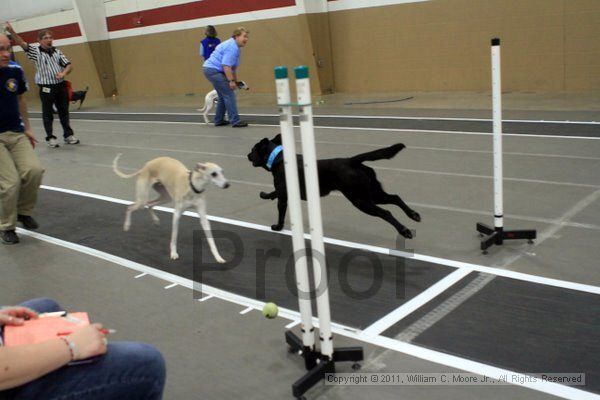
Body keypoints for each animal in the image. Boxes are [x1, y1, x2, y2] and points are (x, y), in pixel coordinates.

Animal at [246, 134, 420, 238]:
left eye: (253, 149)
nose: (247, 155)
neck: (278, 158)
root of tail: (352, 161)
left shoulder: (283, 194)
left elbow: (277, 203)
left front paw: (277, 226)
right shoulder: (285, 194)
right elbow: (275, 198)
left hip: (360, 199)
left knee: (386, 212)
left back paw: (404, 230)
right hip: (372, 193)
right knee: (395, 197)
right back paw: (413, 214)